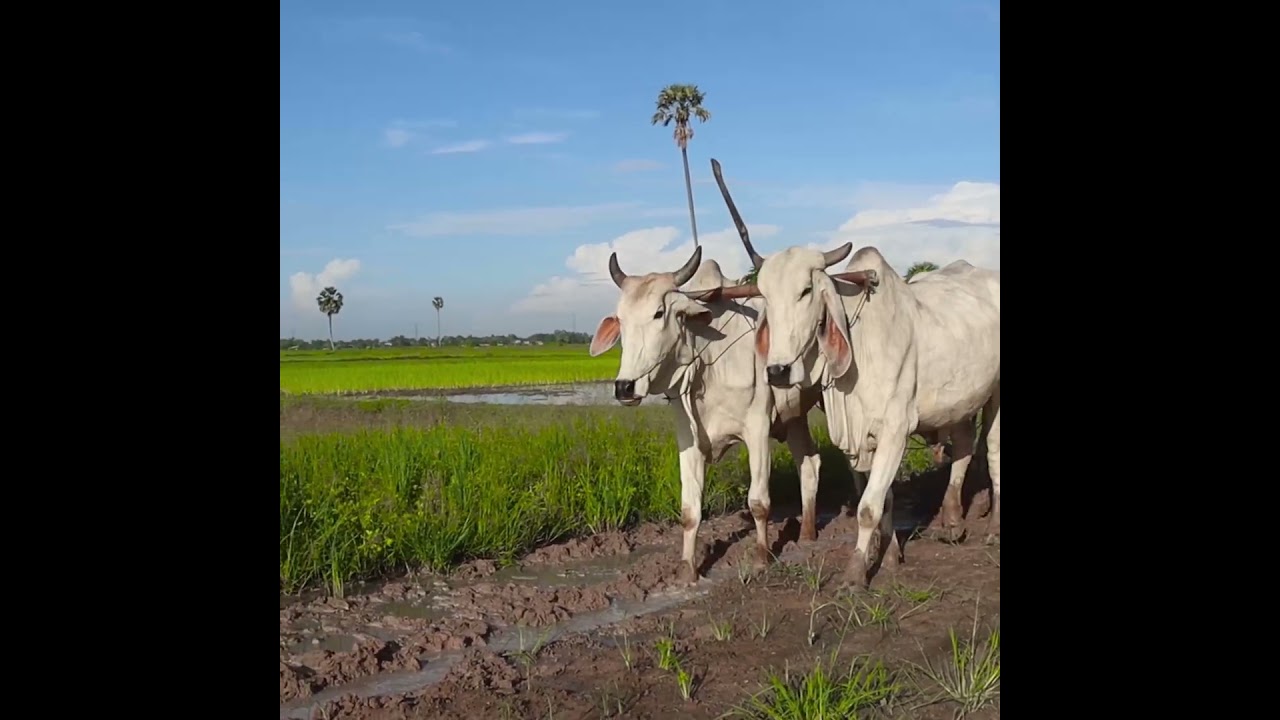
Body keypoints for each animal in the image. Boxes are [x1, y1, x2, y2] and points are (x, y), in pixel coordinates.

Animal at [589, 246, 825, 584]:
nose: (624, 387)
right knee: (808, 463)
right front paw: (687, 570)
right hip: (795, 417)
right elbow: (690, 510)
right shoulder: (688, 438)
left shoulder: (757, 430)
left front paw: (761, 559)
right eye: (621, 319)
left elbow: (759, 502)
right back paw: (806, 534)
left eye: (658, 313)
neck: (709, 362)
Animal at [706, 158, 1001, 590]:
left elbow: (867, 507)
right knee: (964, 448)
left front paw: (855, 571)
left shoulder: (897, 426)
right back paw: (952, 520)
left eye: (806, 291)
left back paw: (992, 526)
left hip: (996, 396)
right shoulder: (864, 434)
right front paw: (890, 555)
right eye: (765, 297)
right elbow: (884, 499)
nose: (777, 370)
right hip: (959, 402)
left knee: (993, 451)